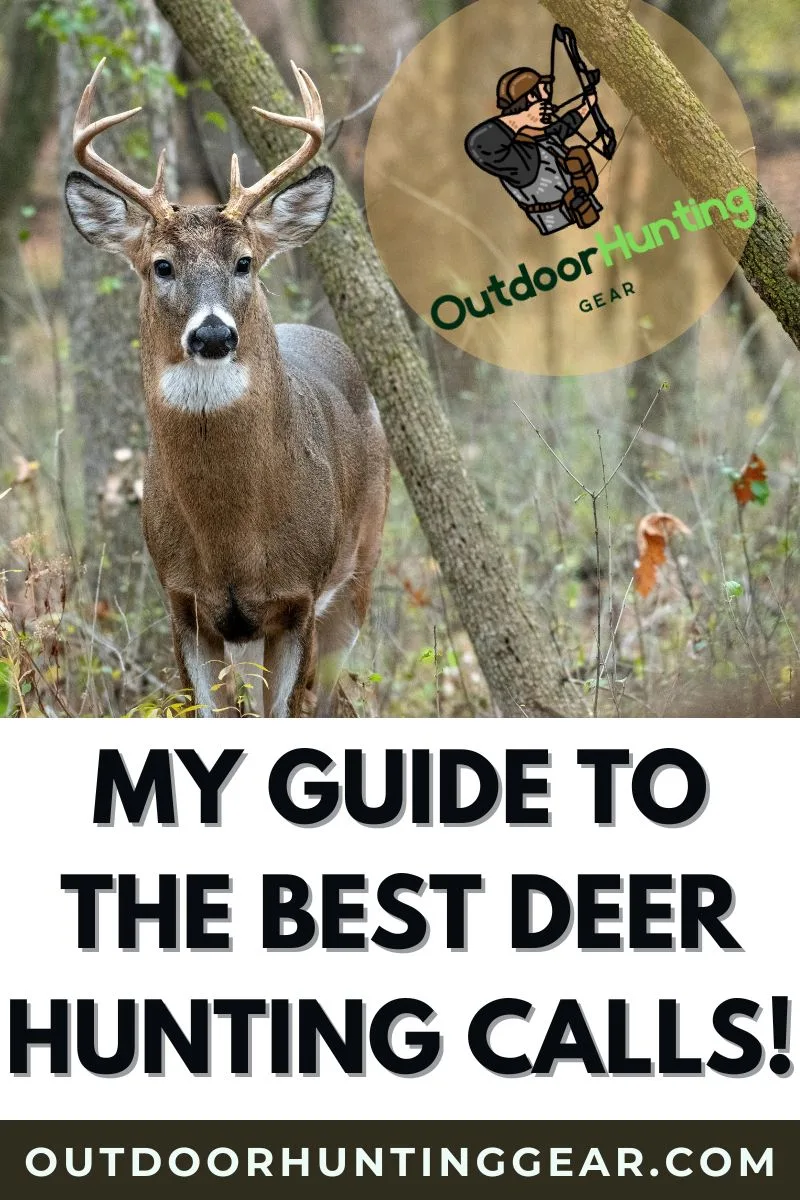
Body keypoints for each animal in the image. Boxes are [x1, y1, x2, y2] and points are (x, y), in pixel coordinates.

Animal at [64, 59, 389, 717]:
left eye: (244, 261)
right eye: (161, 265)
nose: (213, 332)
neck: (232, 537)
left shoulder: (297, 597)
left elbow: (283, 710)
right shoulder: (183, 602)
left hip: (360, 568)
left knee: (334, 697)